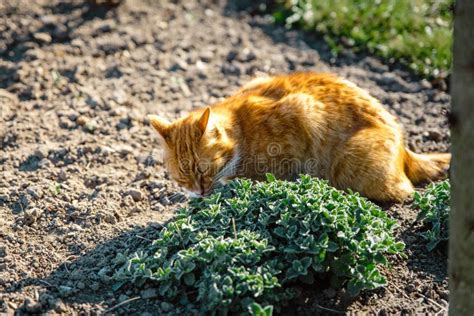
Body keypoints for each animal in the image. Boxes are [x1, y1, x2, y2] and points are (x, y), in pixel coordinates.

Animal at [150, 72, 450, 201]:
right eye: (183, 177)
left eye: (203, 170)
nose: (200, 191)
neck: (242, 130)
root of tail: (405, 146)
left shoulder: (300, 113)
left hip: (352, 167)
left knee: (405, 192)